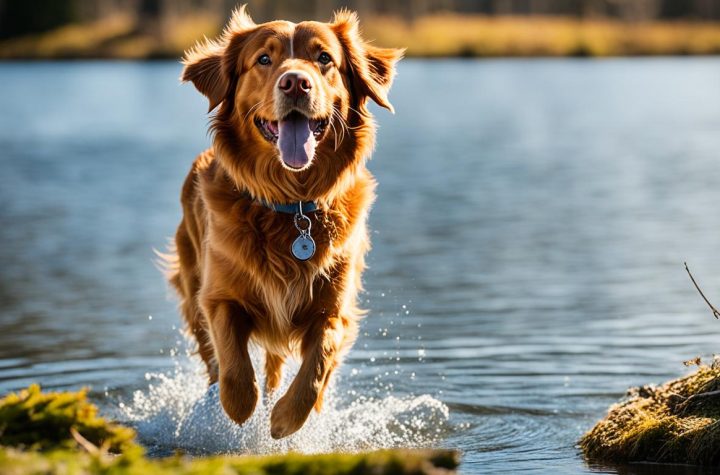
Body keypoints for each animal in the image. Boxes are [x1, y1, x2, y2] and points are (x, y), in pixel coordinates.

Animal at [169, 5, 404, 440]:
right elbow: (233, 361)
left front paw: (284, 420)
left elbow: (318, 364)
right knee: (213, 361)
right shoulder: (218, 295)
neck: (291, 205)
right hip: (192, 288)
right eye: (264, 59)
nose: (296, 82)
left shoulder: (333, 308)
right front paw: (240, 408)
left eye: (324, 58)